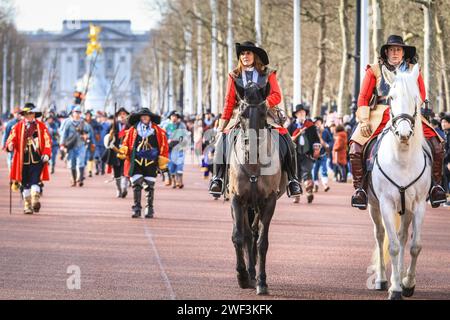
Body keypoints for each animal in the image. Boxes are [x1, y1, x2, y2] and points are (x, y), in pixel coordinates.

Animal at [227, 82, 286, 296]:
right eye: (242, 113)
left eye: (262, 113)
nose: (250, 147)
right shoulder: (237, 199)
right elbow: (238, 237)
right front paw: (242, 276)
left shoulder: (269, 201)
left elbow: (262, 242)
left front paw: (262, 282)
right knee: (246, 234)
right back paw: (249, 273)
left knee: (253, 233)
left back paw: (254, 274)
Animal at [370, 64, 432, 300]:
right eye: (391, 98)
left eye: (416, 97)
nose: (404, 133)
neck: (403, 158)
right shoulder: (386, 203)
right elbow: (393, 247)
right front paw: (395, 288)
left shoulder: (419, 204)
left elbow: (415, 246)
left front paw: (407, 283)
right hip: (374, 205)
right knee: (380, 236)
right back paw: (381, 279)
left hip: (407, 209)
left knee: (403, 236)